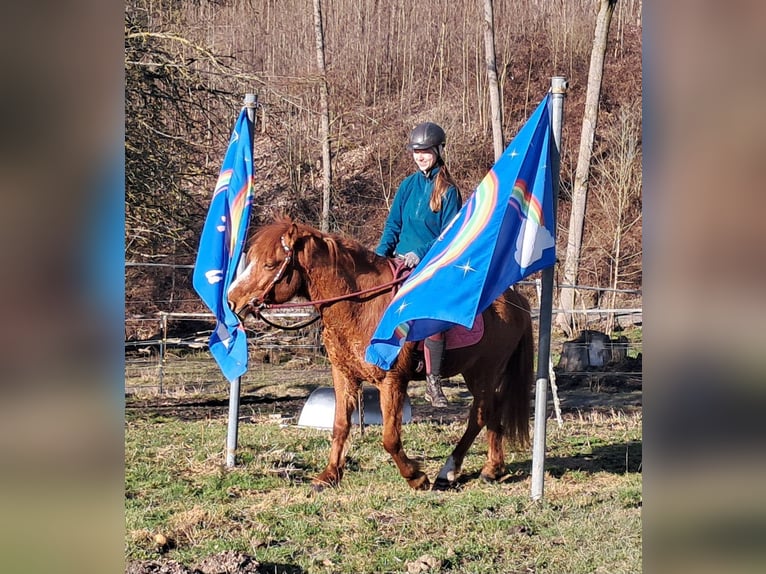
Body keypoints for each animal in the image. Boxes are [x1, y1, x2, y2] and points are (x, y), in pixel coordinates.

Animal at [228, 216, 534, 491]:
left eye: (269, 264)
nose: (232, 301)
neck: (360, 305)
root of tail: (515, 300)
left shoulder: (392, 381)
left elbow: (389, 437)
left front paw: (415, 477)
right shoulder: (344, 375)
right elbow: (340, 426)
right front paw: (328, 476)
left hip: (485, 371)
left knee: (479, 415)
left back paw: (449, 470)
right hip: (480, 374)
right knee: (491, 411)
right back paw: (492, 469)